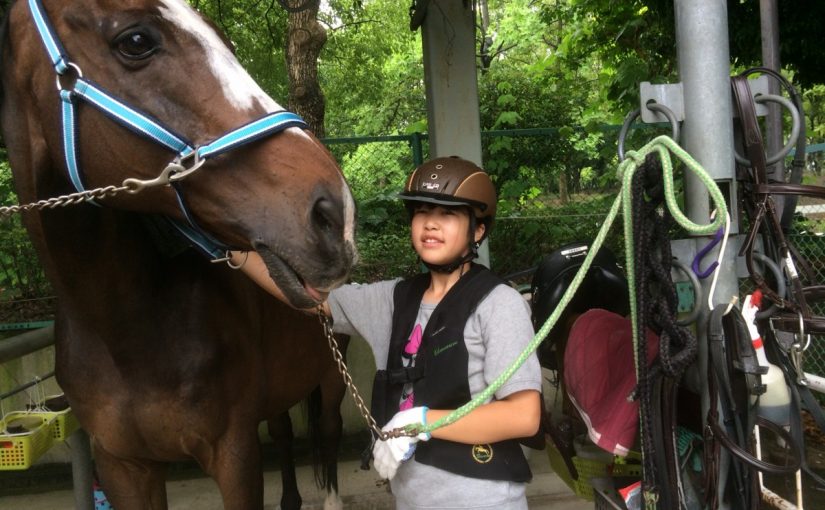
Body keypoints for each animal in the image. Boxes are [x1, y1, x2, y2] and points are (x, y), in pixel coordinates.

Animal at [0, 1, 358, 508]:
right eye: (135, 41)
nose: (336, 213)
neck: (124, 331)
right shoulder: (123, 465)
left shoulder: (233, 452)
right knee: (286, 433)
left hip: (331, 373)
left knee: (328, 429)